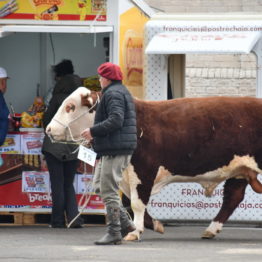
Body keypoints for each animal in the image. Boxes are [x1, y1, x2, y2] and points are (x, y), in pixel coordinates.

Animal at [45, 87, 262, 241]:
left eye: (70, 107)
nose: (48, 129)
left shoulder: (143, 170)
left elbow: (136, 202)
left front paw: (136, 230)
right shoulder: (127, 174)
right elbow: (126, 202)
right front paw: (151, 225)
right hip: (240, 170)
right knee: (232, 197)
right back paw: (211, 229)